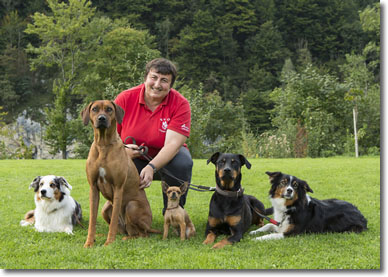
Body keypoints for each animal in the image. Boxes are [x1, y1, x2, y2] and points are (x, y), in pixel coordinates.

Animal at [81, 99, 160, 246]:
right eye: (94, 109)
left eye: (109, 109)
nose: (101, 118)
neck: (103, 145)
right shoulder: (93, 188)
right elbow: (92, 220)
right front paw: (89, 242)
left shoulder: (118, 187)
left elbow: (112, 223)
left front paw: (108, 243)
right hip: (105, 209)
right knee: (123, 230)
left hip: (132, 206)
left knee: (142, 234)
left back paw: (127, 238)